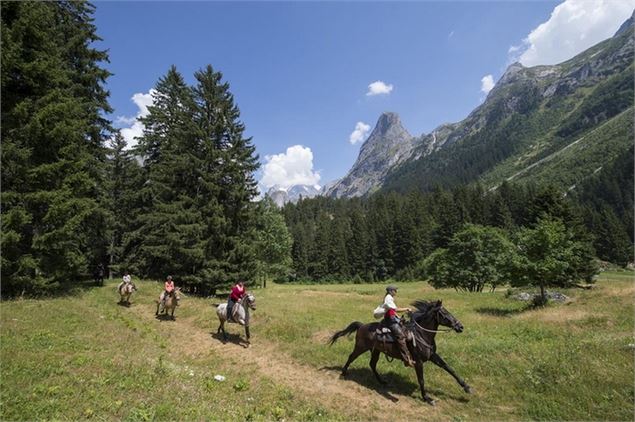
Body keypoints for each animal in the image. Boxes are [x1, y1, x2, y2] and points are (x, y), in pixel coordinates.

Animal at [330, 300, 474, 406]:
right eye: (444, 313)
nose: (460, 326)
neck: (422, 335)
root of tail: (361, 326)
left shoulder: (432, 356)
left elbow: (449, 368)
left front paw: (467, 387)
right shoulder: (418, 361)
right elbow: (421, 380)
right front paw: (427, 398)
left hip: (376, 350)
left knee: (372, 364)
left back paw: (382, 381)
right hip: (361, 347)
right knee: (351, 357)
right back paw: (343, 372)